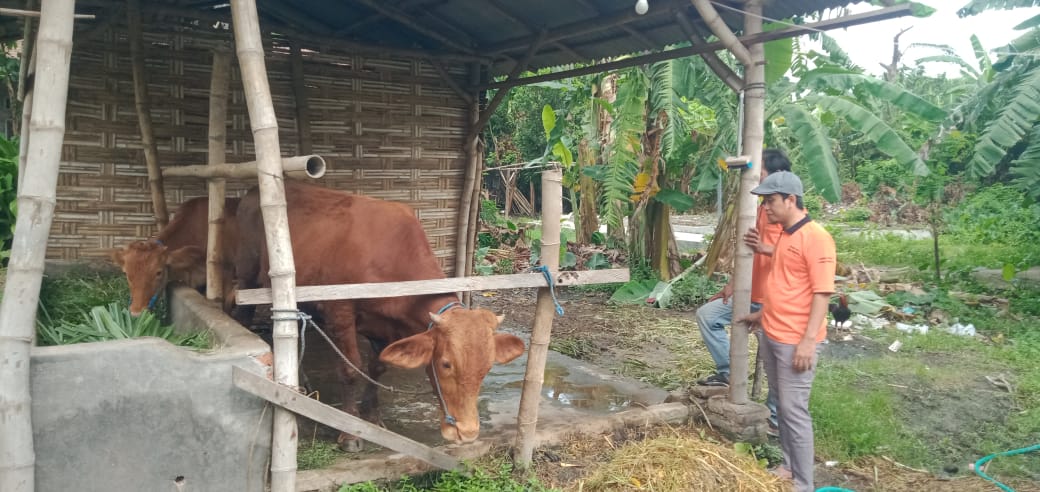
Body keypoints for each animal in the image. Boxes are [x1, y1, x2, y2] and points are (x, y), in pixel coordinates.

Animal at [238, 179, 528, 449]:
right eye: (446, 364)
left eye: (487, 367)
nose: (467, 432)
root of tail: (250, 193)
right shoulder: (340, 313)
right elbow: (350, 369)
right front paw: (350, 432)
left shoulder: (385, 327)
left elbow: (377, 367)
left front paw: (373, 417)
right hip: (245, 275)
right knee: (242, 310)